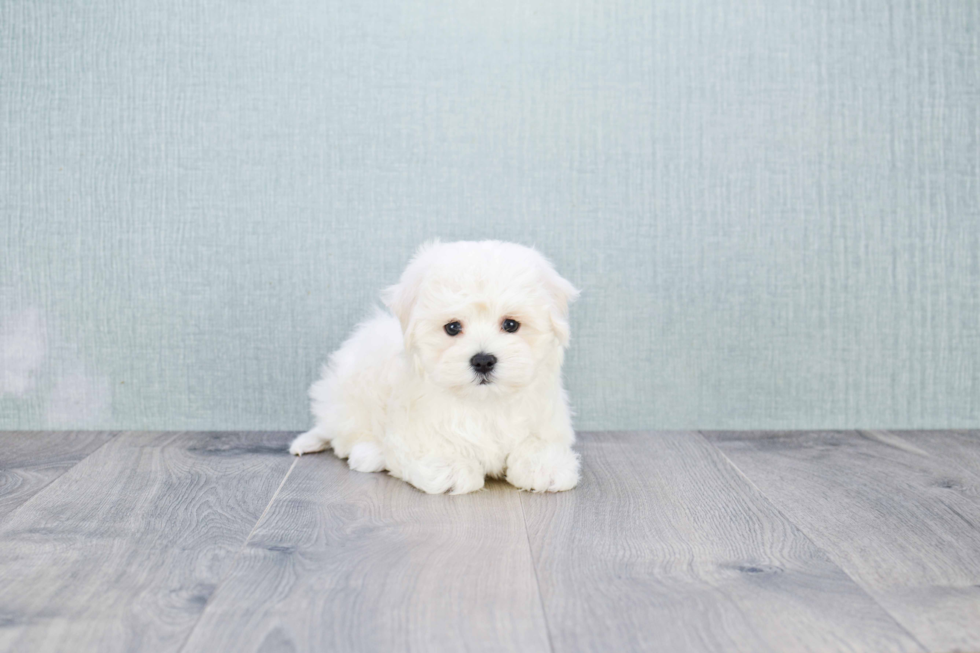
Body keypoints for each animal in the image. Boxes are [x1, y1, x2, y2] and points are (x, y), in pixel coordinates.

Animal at [290, 241, 580, 494]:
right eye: (452, 327)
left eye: (511, 324)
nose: (483, 360)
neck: (484, 403)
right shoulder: (412, 424)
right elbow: (428, 446)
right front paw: (450, 468)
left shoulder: (546, 417)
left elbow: (537, 441)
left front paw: (545, 466)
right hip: (354, 384)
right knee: (346, 435)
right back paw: (369, 453)